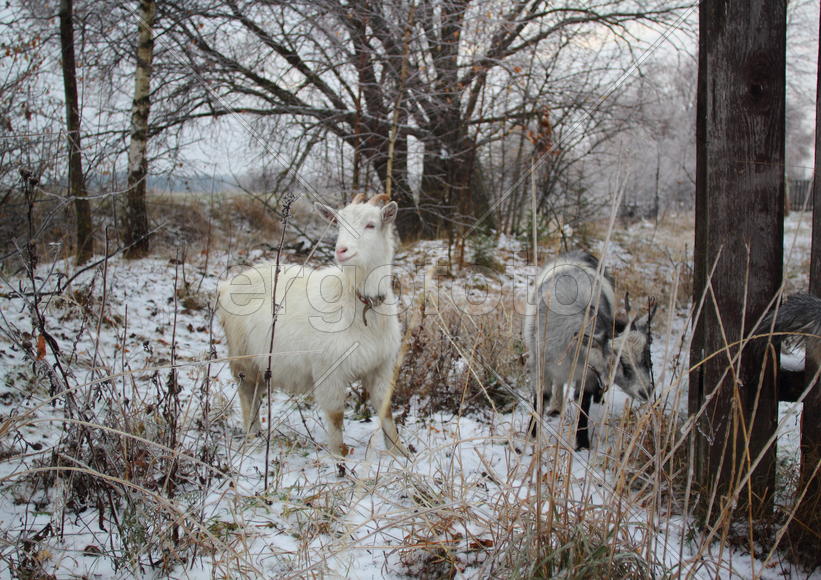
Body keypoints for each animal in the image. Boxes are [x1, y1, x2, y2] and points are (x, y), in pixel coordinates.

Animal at [215, 193, 400, 456]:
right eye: (338, 224)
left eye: (371, 224)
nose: (341, 250)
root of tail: (227, 285)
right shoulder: (328, 370)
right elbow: (336, 416)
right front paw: (338, 458)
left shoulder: (381, 367)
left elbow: (386, 412)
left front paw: (400, 454)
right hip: (243, 358)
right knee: (247, 396)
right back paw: (252, 438)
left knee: (257, 395)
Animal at [524, 250, 660, 448]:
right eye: (617, 363)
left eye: (648, 358)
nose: (646, 391)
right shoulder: (540, 364)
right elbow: (541, 398)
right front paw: (531, 435)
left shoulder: (587, 373)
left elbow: (583, 403)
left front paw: (582, 443)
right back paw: (556, 407)